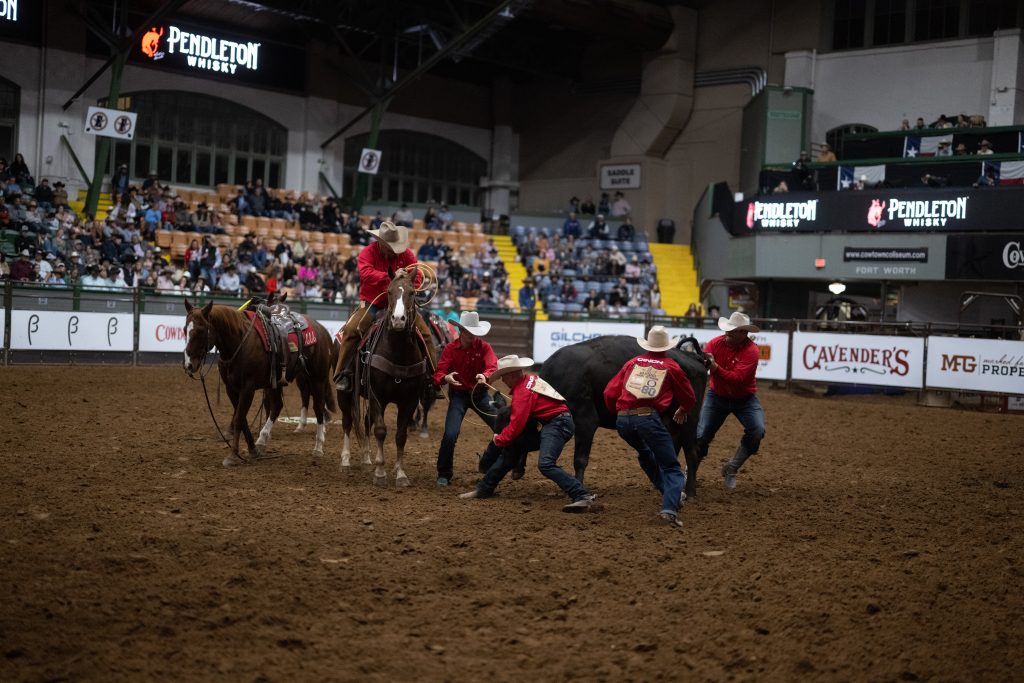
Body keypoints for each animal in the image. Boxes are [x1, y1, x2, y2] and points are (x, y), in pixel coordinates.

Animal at [184, 301, 339, 466]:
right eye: (184, 329)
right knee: (277, 406)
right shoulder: (231, 389)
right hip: (277, 383)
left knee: (318, 407)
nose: (188, 365)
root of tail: (321, 329)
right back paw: (262, 440)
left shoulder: (248, 388)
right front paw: (253, 450)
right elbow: (242, 419)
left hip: (317, 378)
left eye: (201, 330)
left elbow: (239, 418)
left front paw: (232, 456)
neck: (240, 342)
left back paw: (318, 446)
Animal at [339, 270, 428, 489]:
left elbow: (400, 436)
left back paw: (366, 458)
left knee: (365, 421)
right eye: (389, 291)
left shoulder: (410, 400)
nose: (398, 320)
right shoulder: (376, 395)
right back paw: (345, 461)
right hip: (344, 395)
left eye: (413, 292)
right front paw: (380, 473)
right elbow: (380, 430)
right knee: (347, 422)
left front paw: (400, 473)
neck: (398, 352)